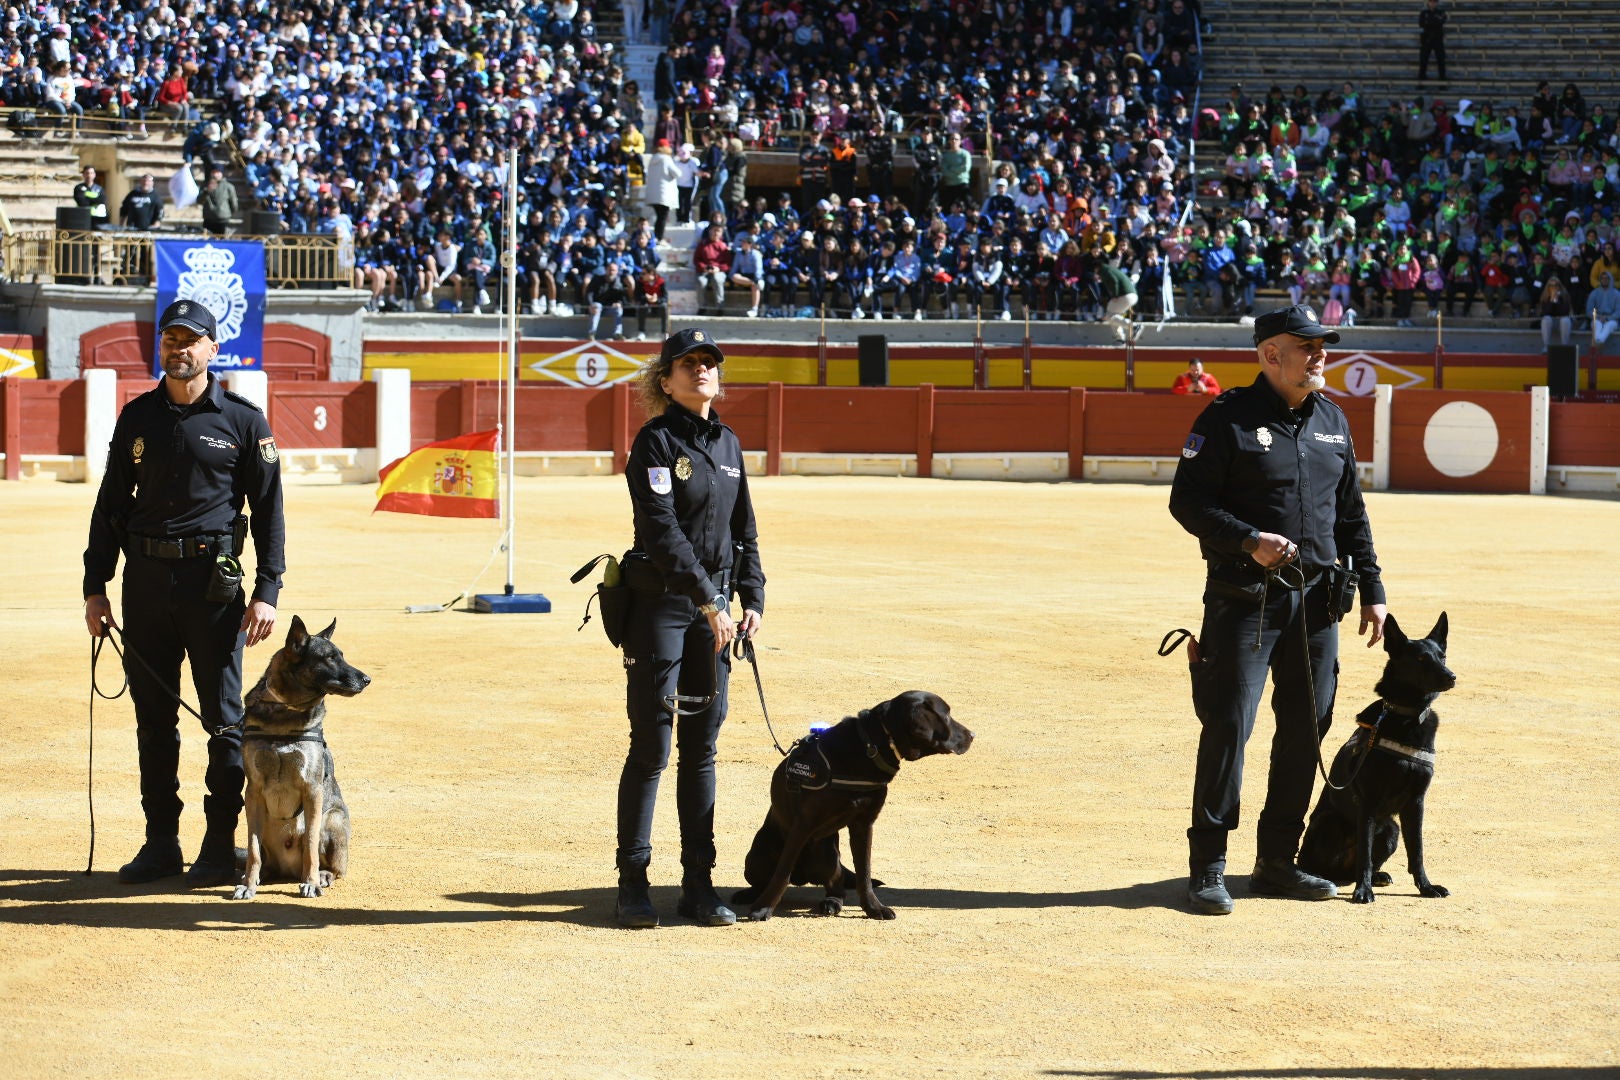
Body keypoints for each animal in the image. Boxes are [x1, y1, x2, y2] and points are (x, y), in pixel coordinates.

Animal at [231, 615, 370, 906]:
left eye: (341, 655)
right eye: (329, 658)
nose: (367, 679)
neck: (286, 711)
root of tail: (286, 869)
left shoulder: (312, 790)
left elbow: (310, 844)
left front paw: (311, 882)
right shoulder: (253, 792)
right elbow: (252, 849)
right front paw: (248, 886)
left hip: (334, 819)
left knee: (335, 867)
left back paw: (323, 876)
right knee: (261, 856)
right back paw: (257, 876)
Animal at [735, 693, 972, 919]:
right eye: (947, 715)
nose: (972, 735)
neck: (870, 746)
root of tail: (802, 877)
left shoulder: (864, 824)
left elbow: (864, 874)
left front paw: (874, 909)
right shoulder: (802, 825)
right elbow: (782, 874)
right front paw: (763, 908)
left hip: (829, 856)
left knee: (837, 887)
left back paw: (831, 903)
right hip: (756, 857)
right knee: (765, 880)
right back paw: (749, 894)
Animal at [1302, 615, 1458, 906]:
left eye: (1442, 656)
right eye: (1421, 659)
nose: (1451, 676)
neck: (1407, 716)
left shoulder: (1416, 803)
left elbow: (1417, 851)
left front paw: (1425, 887)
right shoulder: (1368, 803)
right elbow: (1365, 853)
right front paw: (1362, 891)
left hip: (1391, 829)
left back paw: (1377, 876)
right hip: (1329, 822)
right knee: (1323, 863)